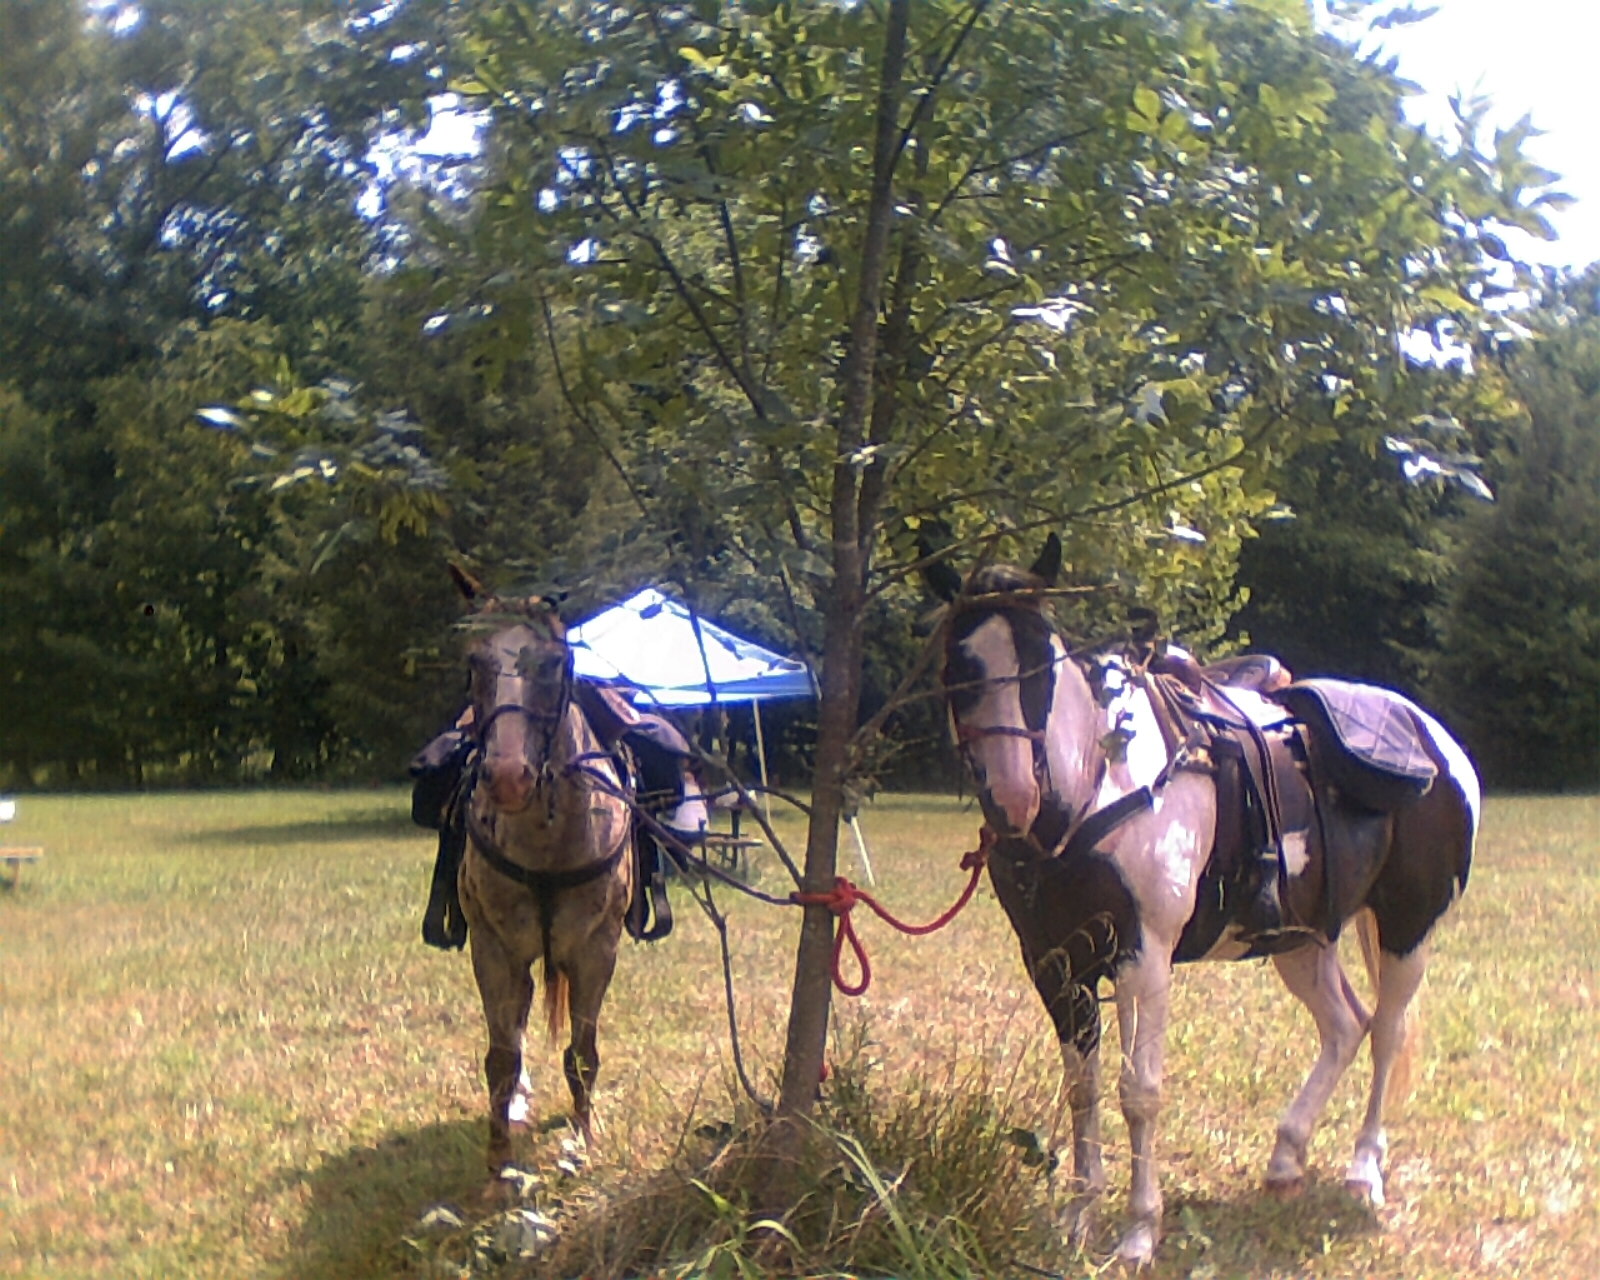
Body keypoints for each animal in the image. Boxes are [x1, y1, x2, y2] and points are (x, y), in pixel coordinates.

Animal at [454, 576, 633, 1177]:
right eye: (475, 661)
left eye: (557, 662)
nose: (509, 777)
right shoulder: (492, 947)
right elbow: (500, 1058)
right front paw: (498, 1167)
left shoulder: (597, 950)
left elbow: (583, 1055)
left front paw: (583, 1137)